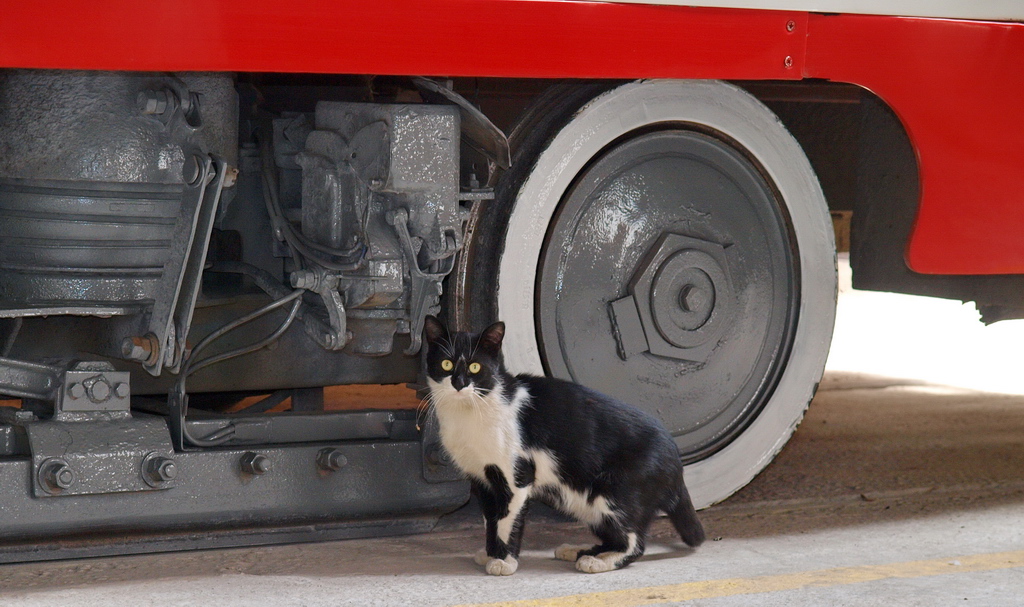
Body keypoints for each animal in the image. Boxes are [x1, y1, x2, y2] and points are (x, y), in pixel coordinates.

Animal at [419, 315, 700, 573]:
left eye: (475, 367)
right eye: (446, 363)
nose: (458, 383)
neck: (471, 411)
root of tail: (676, 462)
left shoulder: (516, 476)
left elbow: (507, 521)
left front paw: (504, 561)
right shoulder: (481, 480)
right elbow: (491, 520)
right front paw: (491, 554)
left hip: (617, 493)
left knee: (634, 542)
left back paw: (598, 562)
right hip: (587, 503)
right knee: (614, 536)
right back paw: (581, 551)